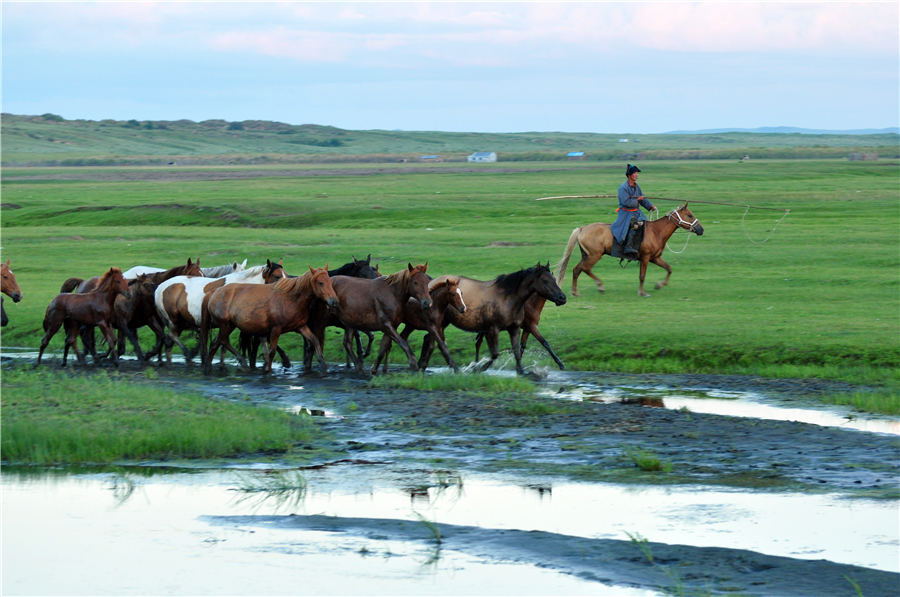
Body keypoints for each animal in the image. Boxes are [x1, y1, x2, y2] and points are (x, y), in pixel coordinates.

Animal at [202, 266, 340, 372]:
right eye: (320, 282)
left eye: (329, 281)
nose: (334, 301)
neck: (291, 299)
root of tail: (214, 292)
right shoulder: (275, 329)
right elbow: (272, 351)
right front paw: (267, 369)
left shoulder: (301, 327)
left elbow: (315, 340)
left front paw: (323, 364)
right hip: (225, 325)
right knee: (218, 343)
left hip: (229, 325)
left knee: (218, 342)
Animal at [424, 260, 568, 372]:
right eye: (545, 280)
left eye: (554, 279)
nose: (562, 298)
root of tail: (431, 283)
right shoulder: (506, 328)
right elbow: (543, 343)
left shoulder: (520, 328)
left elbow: (520, 349)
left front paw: (520, 369)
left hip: (443, 323)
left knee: (431, 340)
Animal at [556, 204, 704, 296]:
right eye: (689, 215)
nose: (701, 229)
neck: (656, 232)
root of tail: (581, 229)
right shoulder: (645, 258)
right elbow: (642, 275)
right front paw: (642, 292)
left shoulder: (655, 258)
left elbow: (669, 268)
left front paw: (659, 285)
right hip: (594, 256)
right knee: (585, 269)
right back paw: (600, 286)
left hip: (586, 255)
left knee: (577, 270)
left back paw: (575, 292)